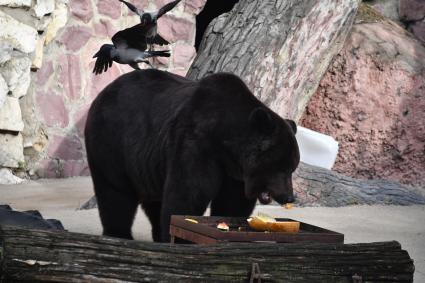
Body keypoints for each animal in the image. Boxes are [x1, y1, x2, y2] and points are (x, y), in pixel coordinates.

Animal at [85, 70, 298, 243]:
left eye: (292, 168)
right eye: (282, 167)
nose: (289, 196)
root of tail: (103, 93)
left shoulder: (235, 172)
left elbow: (233, 202)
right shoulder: (196, 142)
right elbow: (188, 193)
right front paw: (180, 237)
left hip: (147, 165)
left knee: (154, 200)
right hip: (111, 143)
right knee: (115, 192)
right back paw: (119, 233)